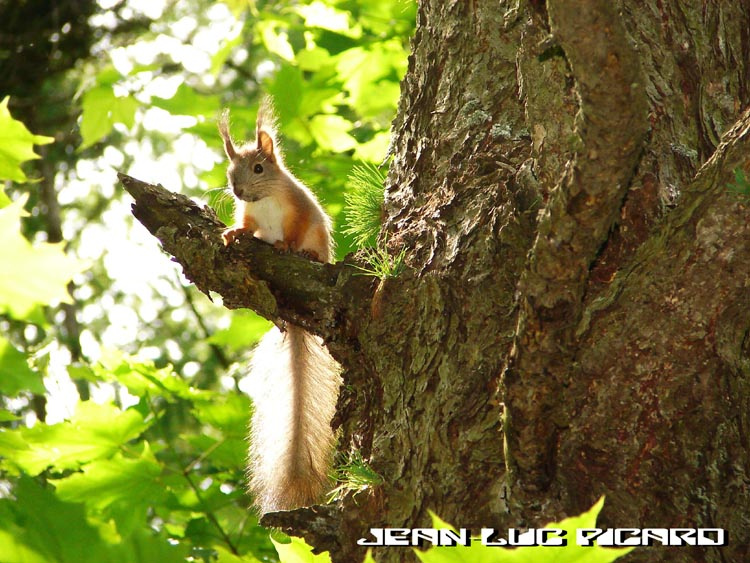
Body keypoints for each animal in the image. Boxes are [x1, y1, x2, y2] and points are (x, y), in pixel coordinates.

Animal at [218, 100, 341, 512]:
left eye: (259, 168)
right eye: (230, 171)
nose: (238, 190)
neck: (266, 201)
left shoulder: (300, 210)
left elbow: (297, 227)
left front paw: (288, 246)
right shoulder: (249, 214)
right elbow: (245, 224)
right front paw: (232, 233)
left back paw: (307, 254)